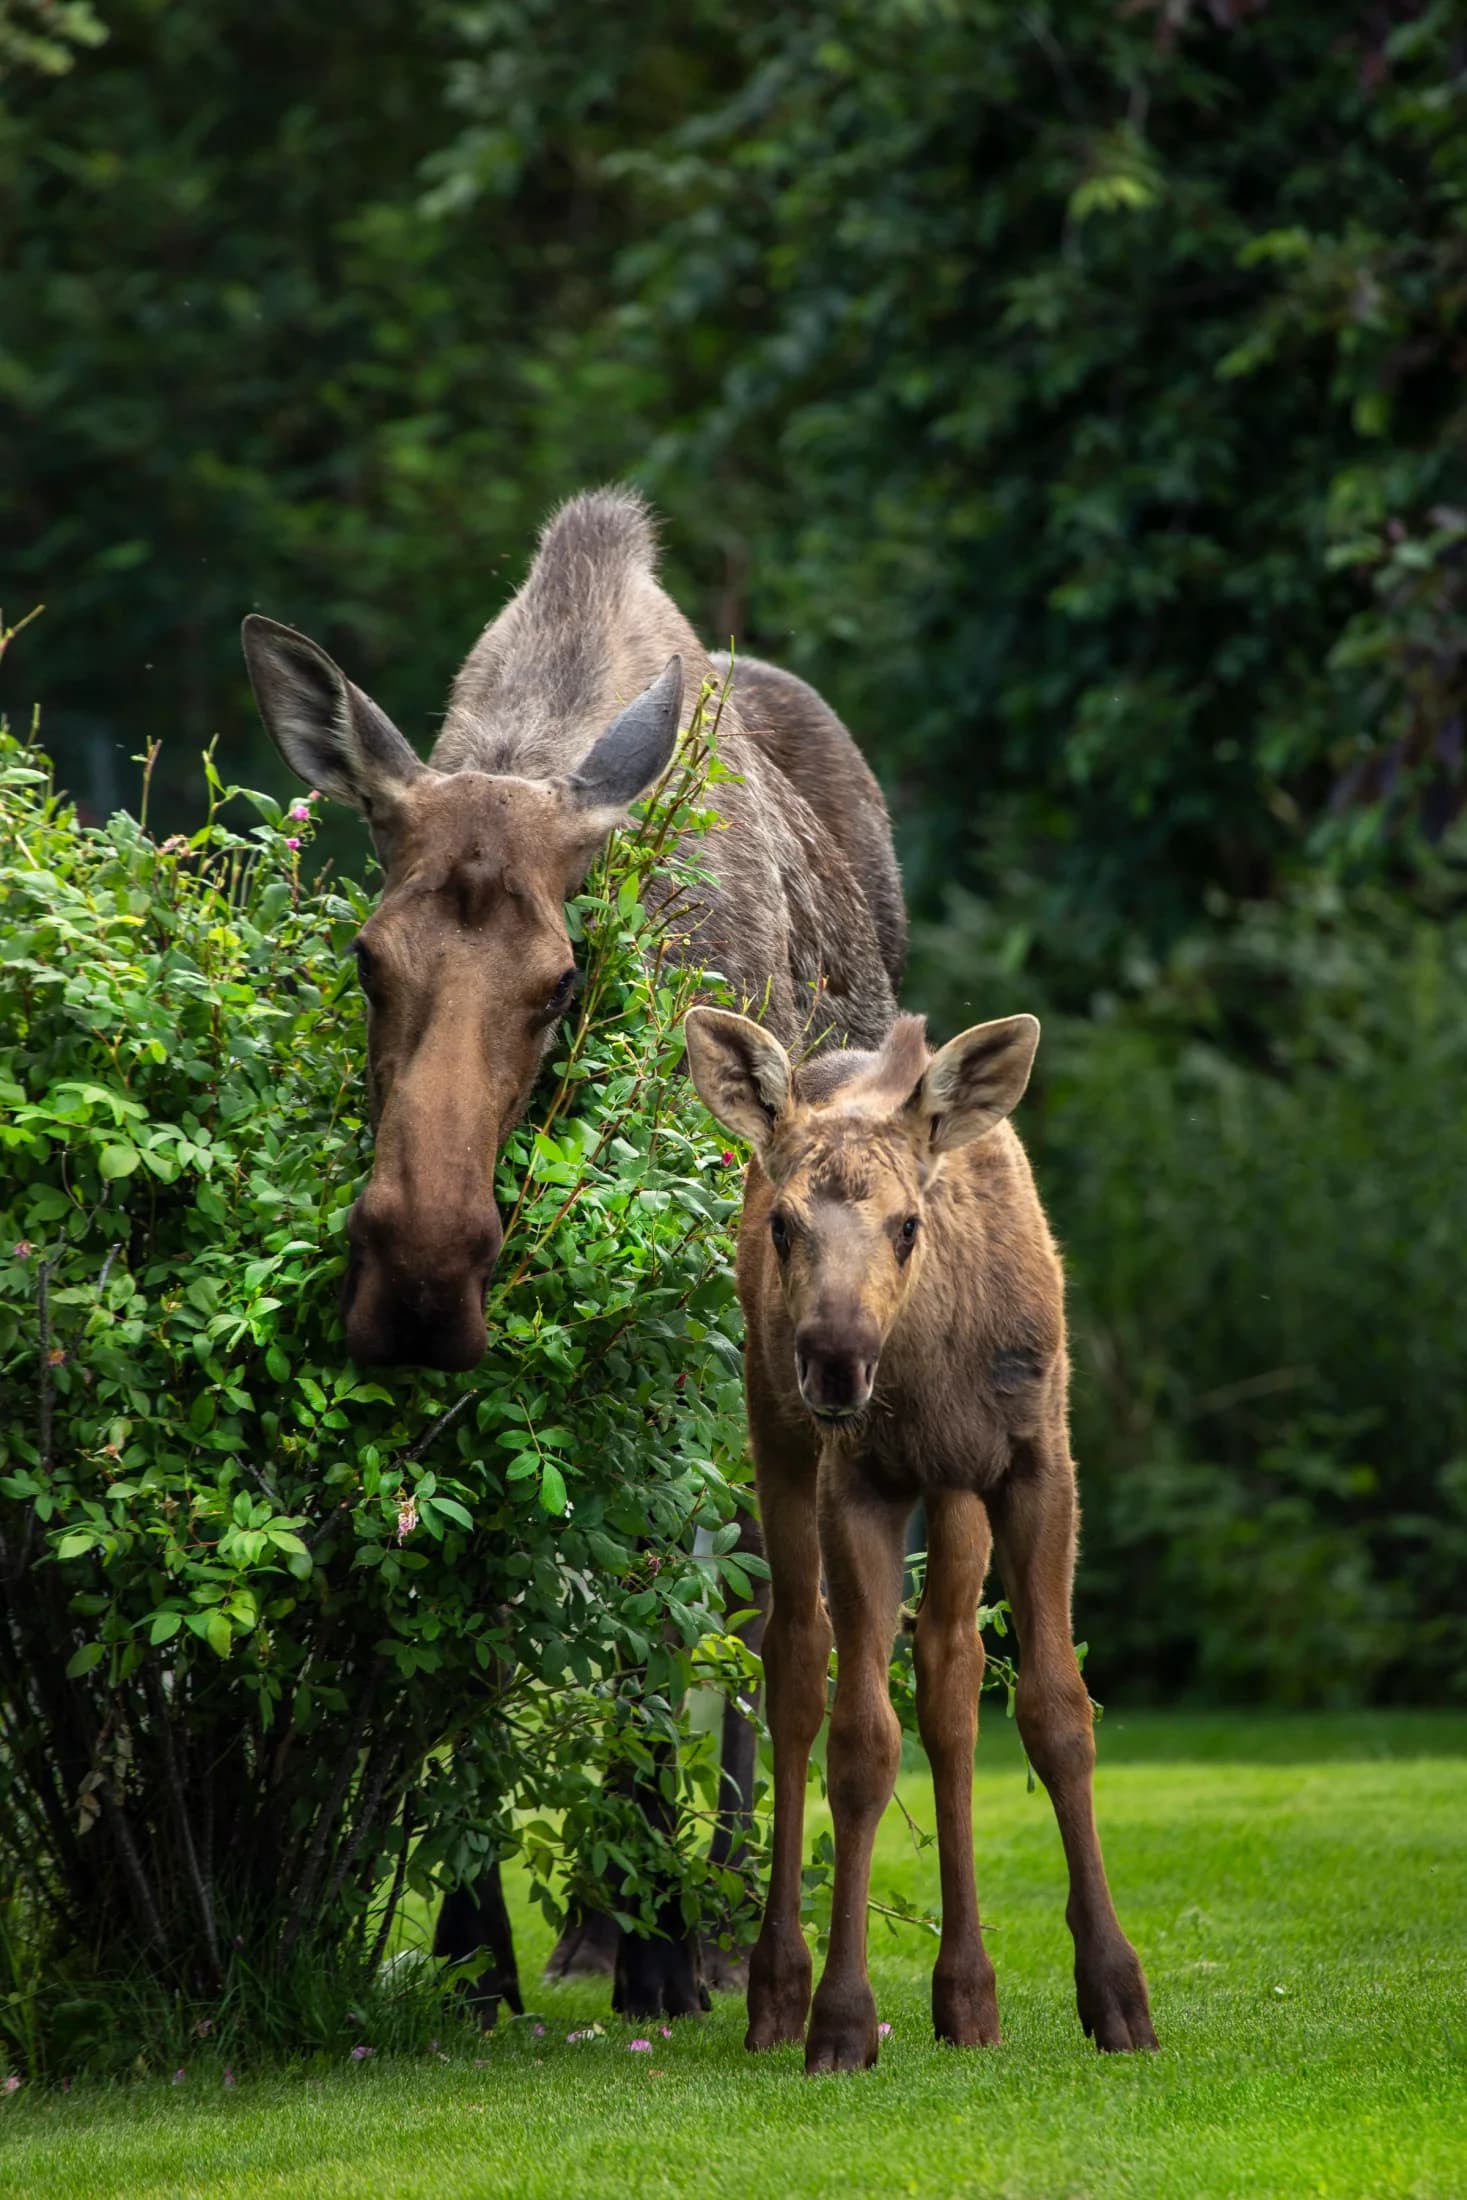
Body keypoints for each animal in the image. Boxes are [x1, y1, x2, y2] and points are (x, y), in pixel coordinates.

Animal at [239, 487, 905, 2022]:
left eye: (560, 978)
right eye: (365, 958)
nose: (422, 1277)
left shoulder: (685, 1332)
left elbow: (663, 1595)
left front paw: (664, 1940)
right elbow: (482, 1601)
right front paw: (467, 1937)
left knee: (751, 1588)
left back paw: (705, 1914)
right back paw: (599, 1918)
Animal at [682, 1004, 1157, 2073]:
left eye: (909, 1224)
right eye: (784, 1225)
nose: (836, 1360)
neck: (932, 1375)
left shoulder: (1035, 1462)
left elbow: (1057, 1714)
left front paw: (1117, 1996)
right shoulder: (854, 1477)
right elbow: (861, 1743)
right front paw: (841, 2019)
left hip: (953, 1495)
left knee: (948, 1670)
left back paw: (967, 1993)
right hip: (775, 1431)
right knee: (794, 1663)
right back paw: (776, 1991)